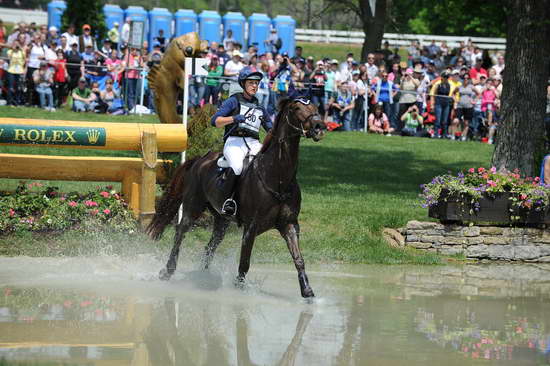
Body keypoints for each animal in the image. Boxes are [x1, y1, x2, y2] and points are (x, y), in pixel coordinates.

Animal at [148, 95, 328, 298]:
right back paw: (167, 271)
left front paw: (307, 291)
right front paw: (239, 289)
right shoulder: (251, 227)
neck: (278, 177)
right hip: (193, 207)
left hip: (221, 219)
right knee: (180, 233)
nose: (319, 127)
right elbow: (244, 262)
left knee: (210, 245)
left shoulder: (289, 224)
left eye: (315, 107)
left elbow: (298, 258)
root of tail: (200, 159)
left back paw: (203, 277)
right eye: (296, 108)